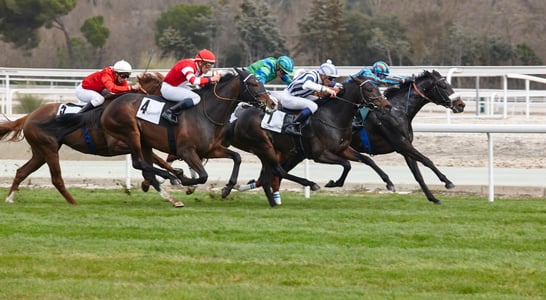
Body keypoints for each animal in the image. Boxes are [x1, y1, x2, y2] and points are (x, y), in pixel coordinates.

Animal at [0, 72, 185, 206]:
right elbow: (151, 162)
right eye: (164, 88)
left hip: (40, 152)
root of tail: (29, 116)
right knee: (57, 179)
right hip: (49, 149)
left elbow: (159, 160)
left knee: (22, 171)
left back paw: (10, 198)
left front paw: (177, 176)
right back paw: (74, 203)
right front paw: (169, 180)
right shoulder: (119, 145)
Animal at [99, 67, 272, 200]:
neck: (206, 113)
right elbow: (203, 176)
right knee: (138, 162)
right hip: (131, 133)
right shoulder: (186, 151)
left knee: (145, 163)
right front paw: (184, 181)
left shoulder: (210, 150)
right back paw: (172, 176)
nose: (272, 103)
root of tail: (110, 106)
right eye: (253, 84)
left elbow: (237, 157)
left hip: (144, 141)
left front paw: (227, 188)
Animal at [226, 76, 392, 206]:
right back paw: (310, 184)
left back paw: (270, 200)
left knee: (269, 175)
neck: (332, 117)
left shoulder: (343, 149)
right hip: (264, 146)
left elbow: (367, 160)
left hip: (274, 151)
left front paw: (389, 183)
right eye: (369, 89)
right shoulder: (319, 154)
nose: (387, 106)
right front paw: (334, 183)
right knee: (277, 171)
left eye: (377, 88)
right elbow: (347, 164)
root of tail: (237, 119)